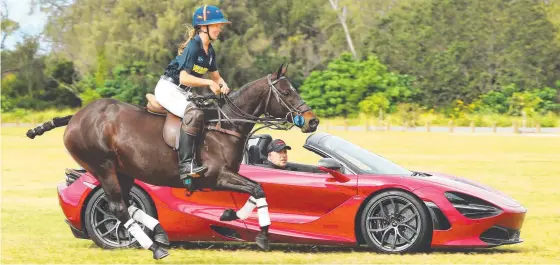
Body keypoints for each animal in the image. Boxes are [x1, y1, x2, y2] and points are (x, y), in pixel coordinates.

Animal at [26, 64, 322, 258]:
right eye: (287, 93)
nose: (312, 121)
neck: (226, 124)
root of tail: (75, 117)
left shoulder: (229, 175)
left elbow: (255, 191)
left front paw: (231, 217)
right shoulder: (217, 176)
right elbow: (258, 189)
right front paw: (260, 235)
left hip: (124, 170)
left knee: (126, 205)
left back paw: (159, 233)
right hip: (103, 167)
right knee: (118, 208)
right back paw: (156, 248)